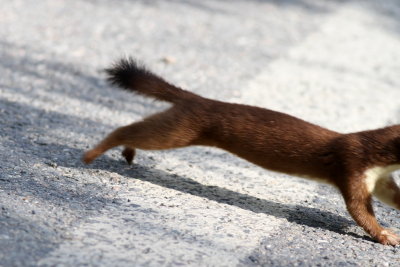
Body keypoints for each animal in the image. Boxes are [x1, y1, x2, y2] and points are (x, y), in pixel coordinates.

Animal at [83, 58, 400, 247]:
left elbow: (392, 195)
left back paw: (128, 153)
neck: (376, 160)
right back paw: (91, 155)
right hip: (179, 130)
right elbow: (359, 210)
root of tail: (198, 99)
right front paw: (388, 236)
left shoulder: (379, 179)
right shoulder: (352, 165)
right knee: (127, 129)